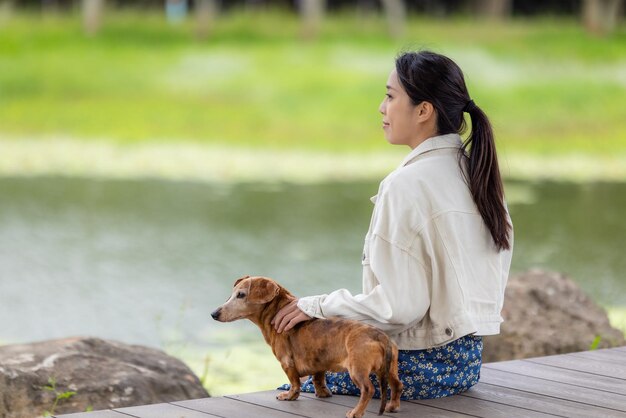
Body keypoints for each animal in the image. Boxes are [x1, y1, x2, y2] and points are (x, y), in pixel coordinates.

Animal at [212, 276, 402, 416]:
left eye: (241, 295)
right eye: (232, 294)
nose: (214, 313)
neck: (276, 312)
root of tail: (381, 337)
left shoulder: (287, 362)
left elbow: (294, 383)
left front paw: (289, 396)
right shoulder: (319, 362)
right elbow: (318, 378)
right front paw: (323, 393)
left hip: (358, 370)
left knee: (368, 390)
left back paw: (355, 412)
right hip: (390, 370)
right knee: (397, 385)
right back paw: (392, 407)